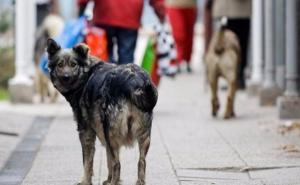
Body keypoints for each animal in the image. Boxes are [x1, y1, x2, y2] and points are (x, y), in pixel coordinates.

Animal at [46, 38, 158, 184]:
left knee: (118, 164)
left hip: (110, 132)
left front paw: (85, 181)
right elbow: (108, 158)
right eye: (60, 65)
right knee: (141, 162)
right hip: (140, 135)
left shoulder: (86, 131)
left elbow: (87, 162)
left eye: (73, 64)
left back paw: (114, 182)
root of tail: (134, 81)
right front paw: (108, 179)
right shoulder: (103, 134)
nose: (66, 77)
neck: (86, 74)